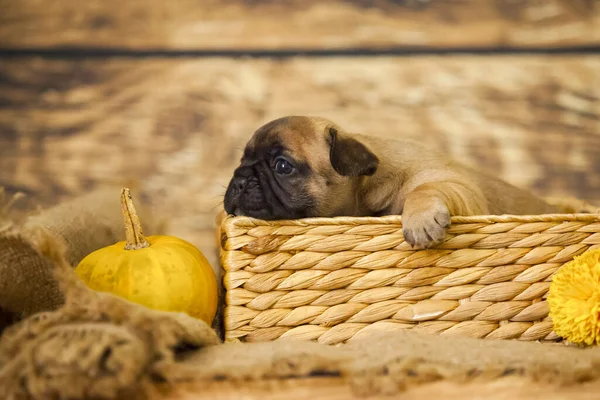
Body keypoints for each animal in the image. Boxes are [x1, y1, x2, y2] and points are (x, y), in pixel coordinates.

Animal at [224, 114, 564, 248]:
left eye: (282, 166)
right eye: (241, 161)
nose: (239, 179)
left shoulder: (456, 186)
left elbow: (425, 189)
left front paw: (420, 219)